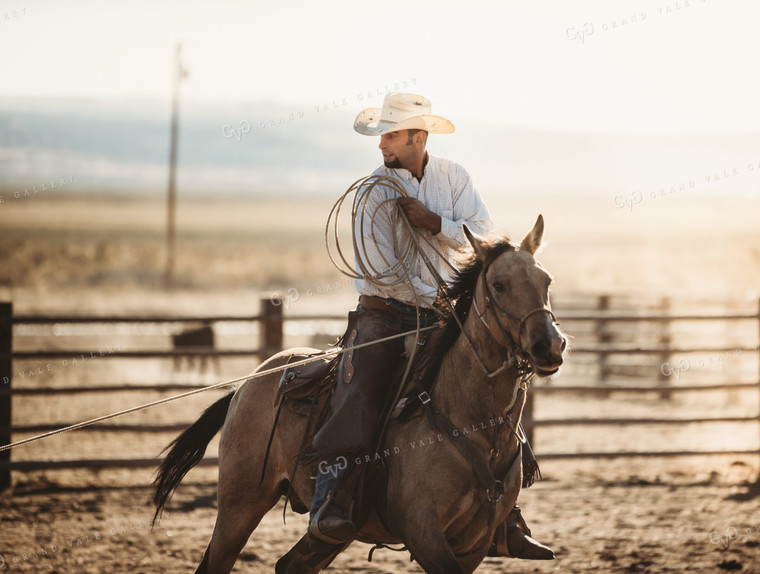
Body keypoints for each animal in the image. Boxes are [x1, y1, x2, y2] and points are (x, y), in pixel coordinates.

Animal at [153, 217, 564, 574]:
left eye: (546, 280)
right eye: (499, 285)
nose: (549, 345)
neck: (475, 423)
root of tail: (246, 385)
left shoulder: (474, 542)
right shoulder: (423, 530)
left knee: (290, 565)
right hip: (240, 506)